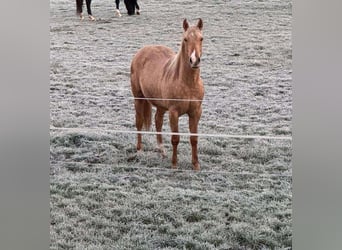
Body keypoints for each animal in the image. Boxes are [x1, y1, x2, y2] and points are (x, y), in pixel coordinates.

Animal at [130, 17, 203, 170]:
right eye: (185, 39)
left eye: (201, 38)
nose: (194, 60)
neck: (188, 83)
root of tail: (142, 51)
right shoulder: (173, 113)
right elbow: (175, 138)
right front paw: (174, 164)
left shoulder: (196, 112)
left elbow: (194, 138)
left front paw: (196, 164)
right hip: (138, 98)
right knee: (139, 123)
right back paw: (139, 149)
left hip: (161, 106)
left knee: (157, 121)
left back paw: (162, 150)